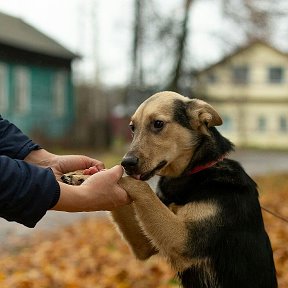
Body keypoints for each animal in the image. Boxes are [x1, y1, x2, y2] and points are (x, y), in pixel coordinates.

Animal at [62, 91, 278, 286]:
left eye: (158, 124)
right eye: (132, 128)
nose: (126, 163)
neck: (195, 171)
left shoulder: (184, 240)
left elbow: (140, 186)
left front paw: (95, 176)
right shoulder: (145, 245)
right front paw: (83, 175)